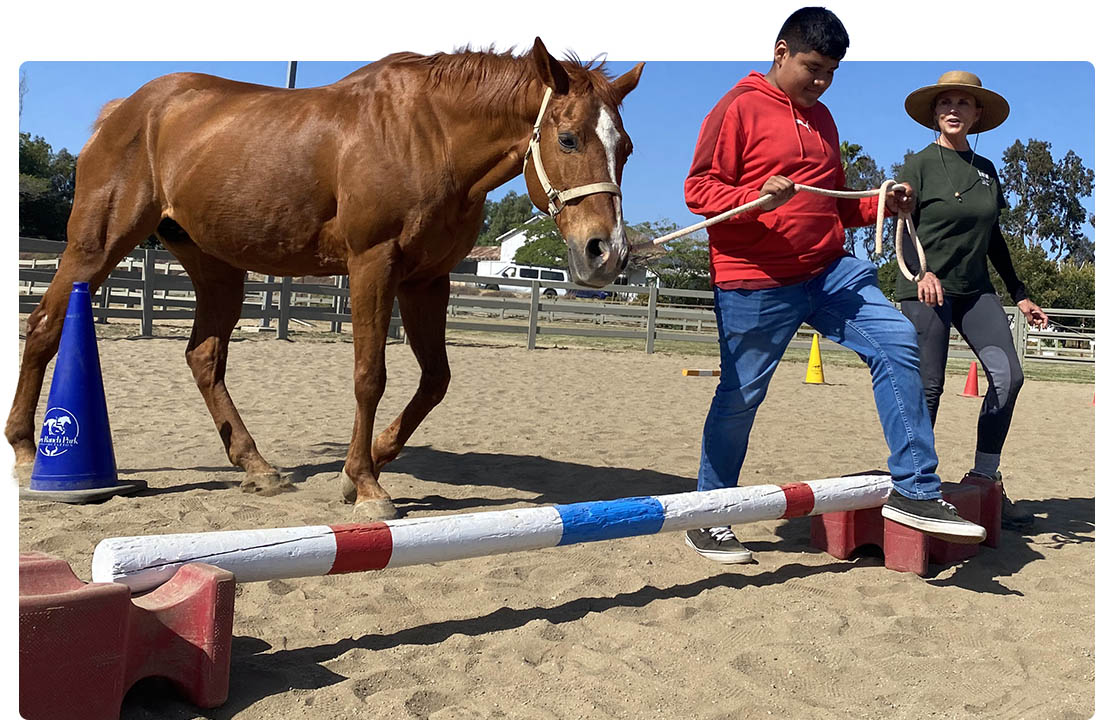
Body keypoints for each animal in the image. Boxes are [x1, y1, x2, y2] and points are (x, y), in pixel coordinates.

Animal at [8, 39, 644, 521]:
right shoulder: (373, 266)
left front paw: (369, 461)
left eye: (628, 148)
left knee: (203, 357)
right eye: (567, 138)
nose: (606, 253)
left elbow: (435, 381)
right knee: (43, 327)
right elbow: (370, 376)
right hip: (96, 246)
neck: (430, 136)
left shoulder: (427, 280)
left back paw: (257, 467)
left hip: (217, 267)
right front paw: (365, 484)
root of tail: (127, 108)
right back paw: (25, 452)